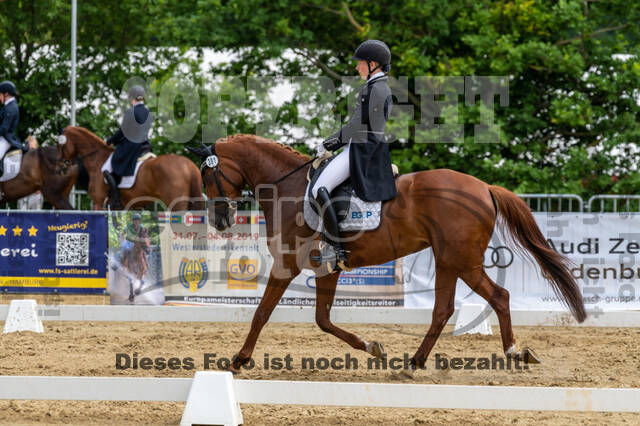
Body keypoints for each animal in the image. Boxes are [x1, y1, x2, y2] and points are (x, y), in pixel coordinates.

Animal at [56, 126, 204, 211]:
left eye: (59, 145)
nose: (59, 169)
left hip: (176, 205)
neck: (97, 158)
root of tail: (189, 165)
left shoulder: (98, 203)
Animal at [188, 134, 587, 376]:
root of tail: (484, 187)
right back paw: (415, 362)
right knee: (444, 310)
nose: (221, 220)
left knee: (498, 296)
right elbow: (322, 319)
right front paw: (373, 347)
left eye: (207, 177)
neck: (290, 189)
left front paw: (239, 360)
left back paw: (513, 352)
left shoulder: (287, 266)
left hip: (462, 260)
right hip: (448, 260)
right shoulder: (328, 269)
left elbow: (261, 314)